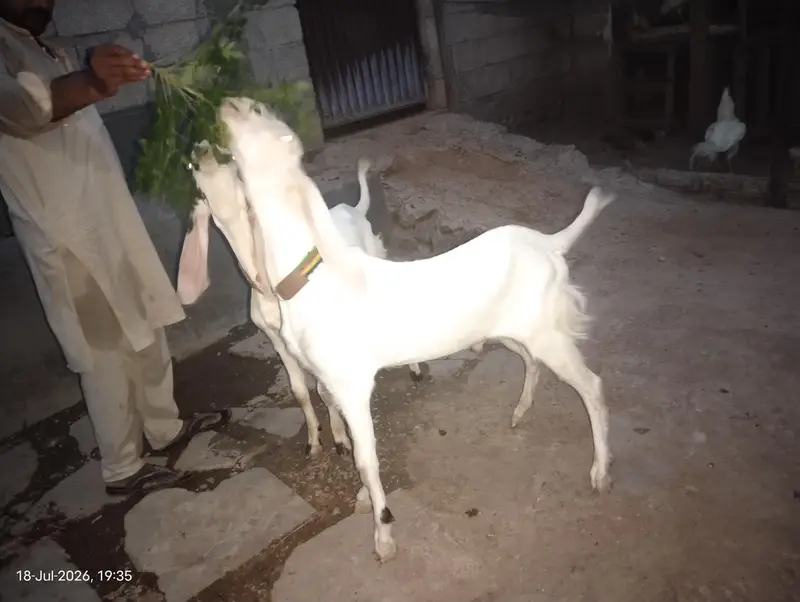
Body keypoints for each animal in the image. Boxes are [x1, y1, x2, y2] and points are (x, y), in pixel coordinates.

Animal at [176, 142, 422, 457]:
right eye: (201, 193)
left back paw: (414, 369)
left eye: (235, 170)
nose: (202, 148)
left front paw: (341, 440)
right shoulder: (276, 338)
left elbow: (324, 390)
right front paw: (314, 440)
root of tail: (353, 208)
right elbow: (300, 391)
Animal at [217, 98, 614, 562]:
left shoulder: (352, 384)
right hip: (515, 329)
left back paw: (600, 472)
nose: (226, 105)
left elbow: (366, 460)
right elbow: (326, 411)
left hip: (549, 333)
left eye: (256, 115)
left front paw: (383, 535)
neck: (313, 278)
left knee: (592, 386)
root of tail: (551, 243)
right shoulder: (326, 375)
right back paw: (520, 412)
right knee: (531, 361)